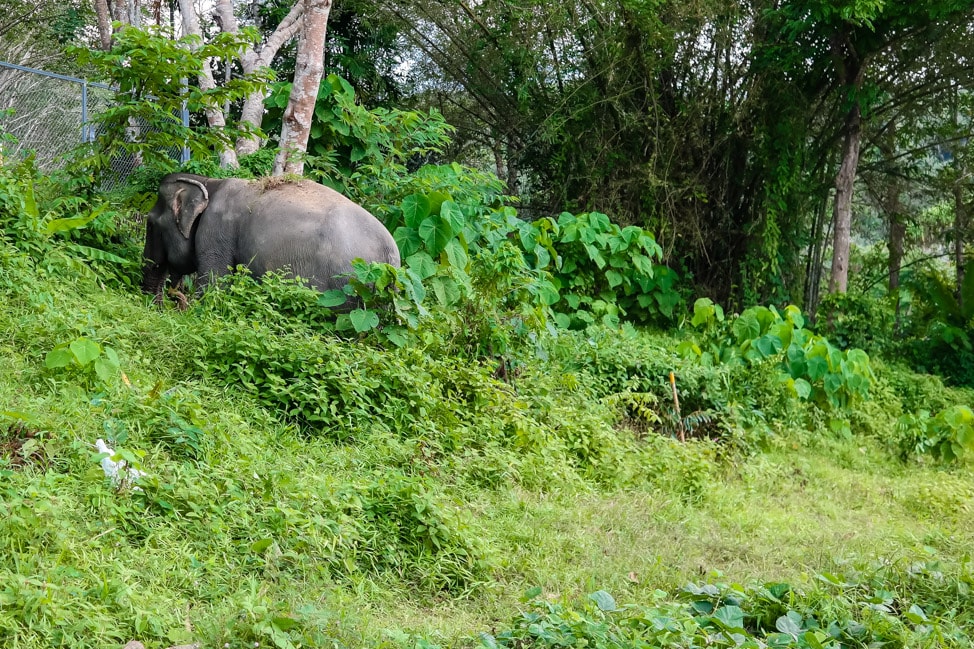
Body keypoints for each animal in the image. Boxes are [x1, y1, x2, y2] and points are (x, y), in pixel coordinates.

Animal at [141, 173, 400, 305]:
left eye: (150, 223)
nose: (162, 306)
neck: (209, 182)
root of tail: (391, 257)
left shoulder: (215, 232)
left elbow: (214, 285)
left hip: (346, 284)